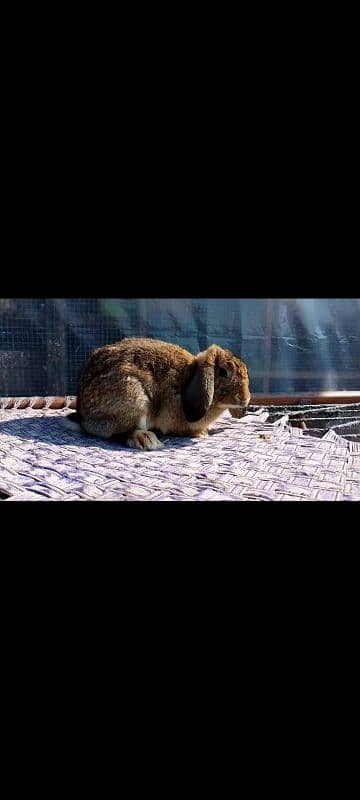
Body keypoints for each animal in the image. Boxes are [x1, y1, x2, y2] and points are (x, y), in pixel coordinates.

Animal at [64, 338, 250, 450]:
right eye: (223, 372)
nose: (246, 399)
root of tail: (85, 418)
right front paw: (201, 434)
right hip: (134, 398)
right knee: (121, 432)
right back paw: (147, 440)